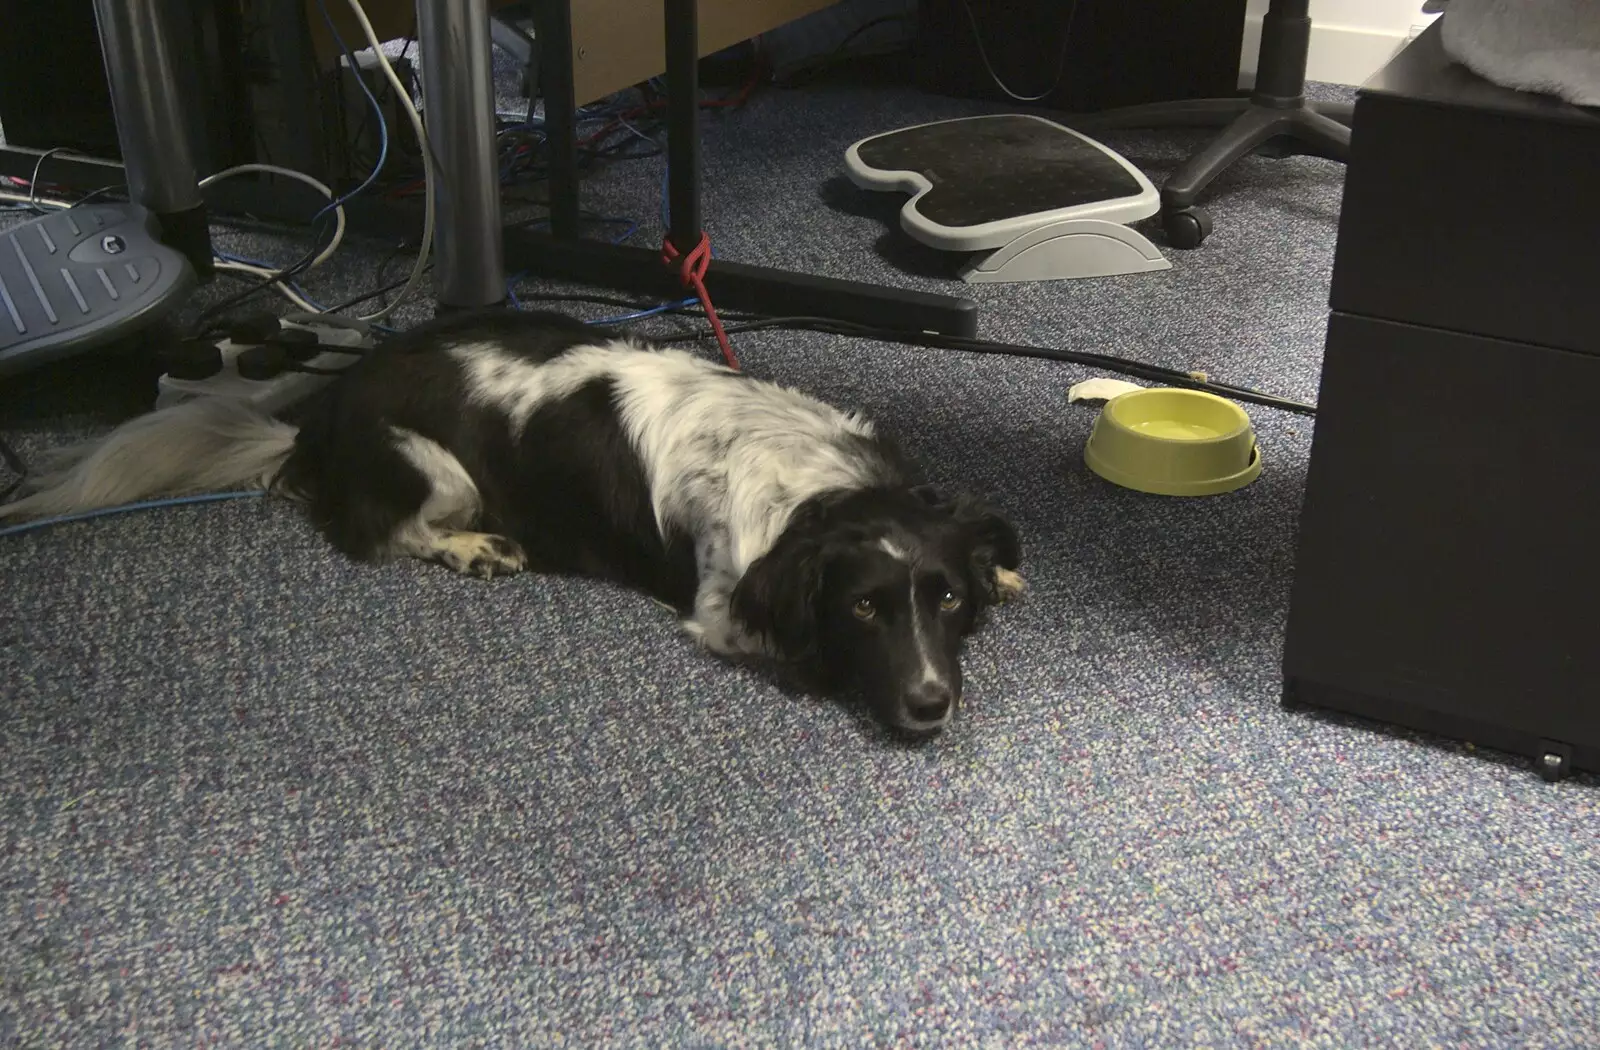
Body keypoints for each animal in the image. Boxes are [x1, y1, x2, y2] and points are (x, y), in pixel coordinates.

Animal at [3, 312, 1024, 733]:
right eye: (862, 610)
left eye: (943, 600)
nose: (932, 703)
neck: (816, 482)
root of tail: (318, 413)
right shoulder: (723, 607)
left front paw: (1001, 569)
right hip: (434, 467)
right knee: (381, 534)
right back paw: (477, 549)